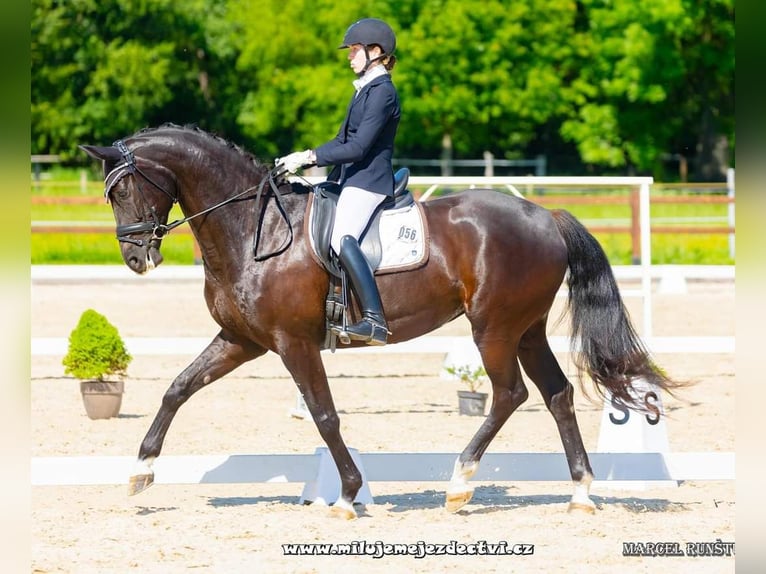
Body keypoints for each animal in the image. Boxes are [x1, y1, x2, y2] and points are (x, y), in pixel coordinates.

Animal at [82, 125, 680, 520]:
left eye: (124, 189)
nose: (135, 258)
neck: (253, 229)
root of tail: (546, 216)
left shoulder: (293, 343)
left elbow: (324, 416)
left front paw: (348, 494)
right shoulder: (242, 340)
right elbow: (178, 388)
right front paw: (141, 471)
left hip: (494, 328)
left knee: (510, 393)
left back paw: (459, 484)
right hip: (527, 329)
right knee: (556, 394)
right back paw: (580, 492)